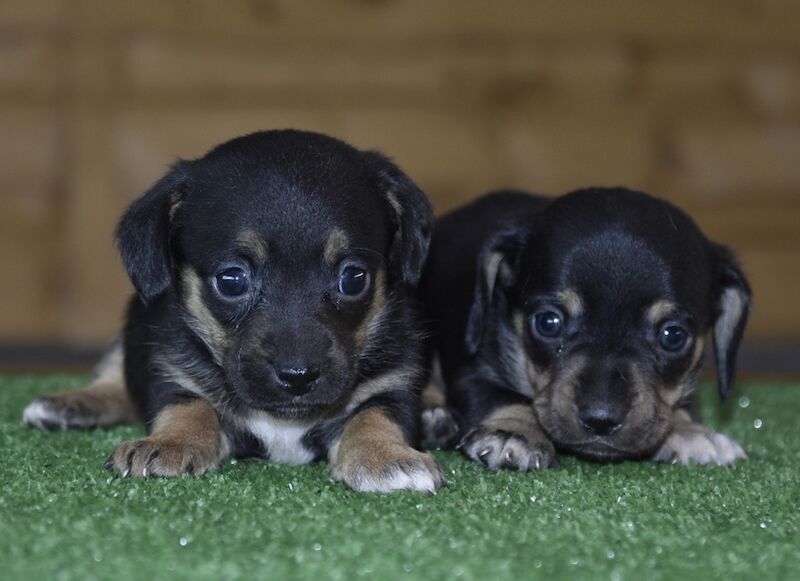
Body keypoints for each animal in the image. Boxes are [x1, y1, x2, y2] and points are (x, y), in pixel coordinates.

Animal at [21, 129, 446, 492]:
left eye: (353, 278)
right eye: (232, 280)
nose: (297, 377)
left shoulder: (395, 383)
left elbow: (376, 415)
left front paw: (386, 457)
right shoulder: (171, 370)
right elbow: (188, 405)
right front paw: (168, 444)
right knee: (114, 376)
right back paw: (71, 404)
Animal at [424, 188, 752, 468]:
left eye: (673, 336)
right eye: (548, 322)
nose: (601, 420)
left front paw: (691, 430)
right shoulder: (474, 367)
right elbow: (498, 395)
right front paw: (514, 431)